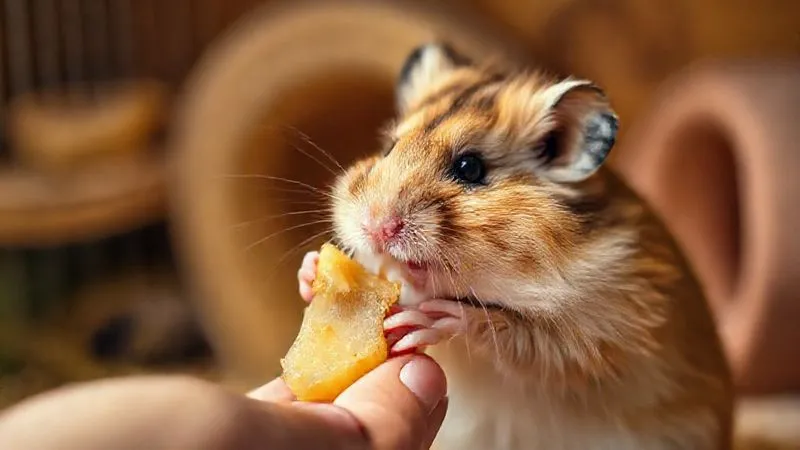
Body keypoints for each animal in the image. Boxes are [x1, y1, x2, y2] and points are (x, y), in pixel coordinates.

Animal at [298, 42, 733, 449]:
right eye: (389, 148)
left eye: (470, 168)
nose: (375, 226)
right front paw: (311, 269)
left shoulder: (602, 334)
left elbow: (513, 331)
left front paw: (431, 320)